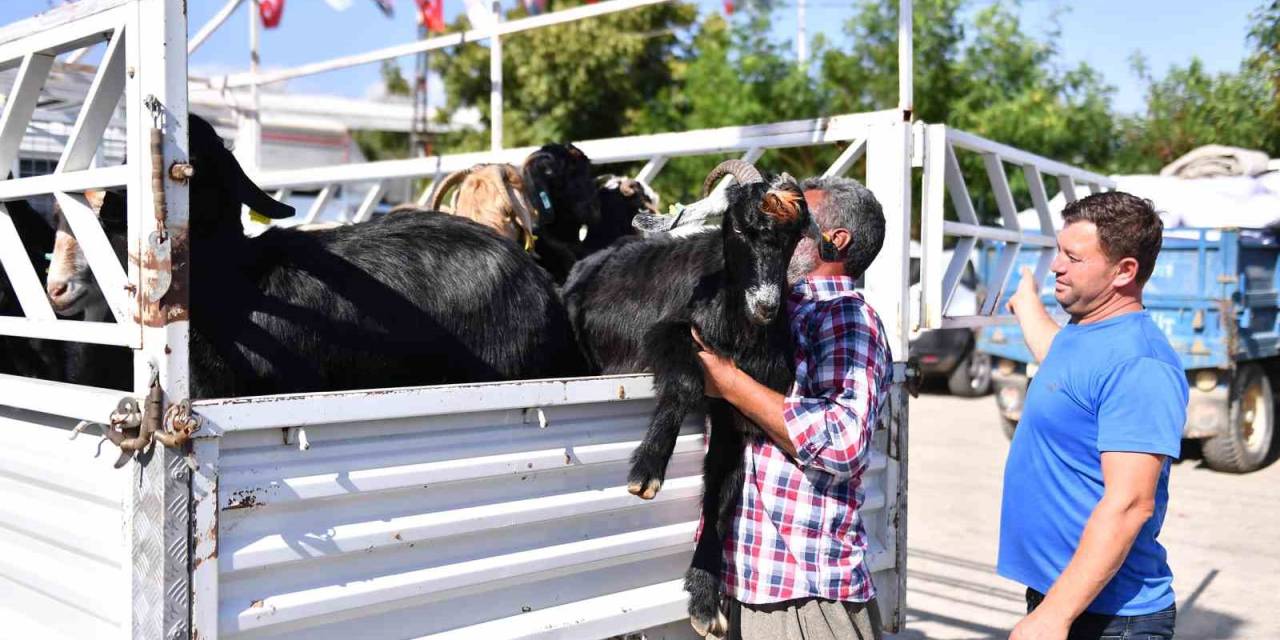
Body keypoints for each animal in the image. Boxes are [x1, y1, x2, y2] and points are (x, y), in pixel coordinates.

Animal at [560, 161, 808, 640]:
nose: (767, 305)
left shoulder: (737, 410)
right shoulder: (665, 335)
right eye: (739, 227)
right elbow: (688, 382)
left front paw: (705, 599)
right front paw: (647, 471)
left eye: (794, 237)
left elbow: (723, 489)